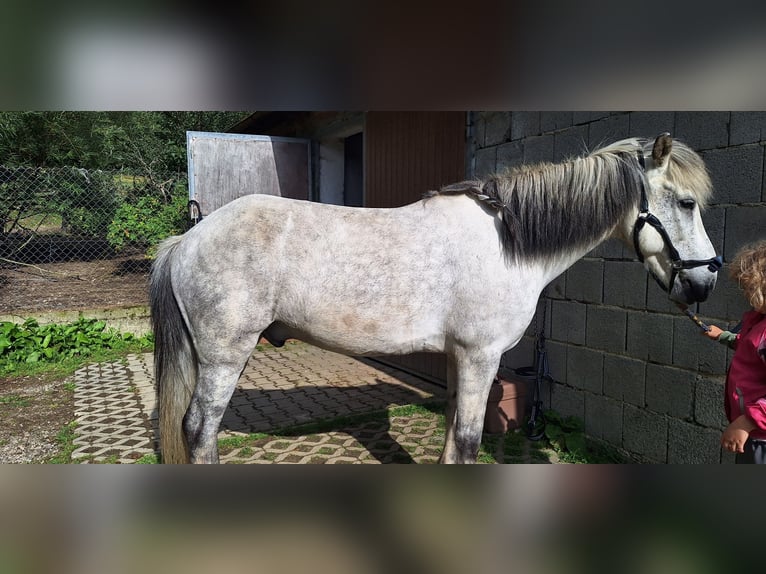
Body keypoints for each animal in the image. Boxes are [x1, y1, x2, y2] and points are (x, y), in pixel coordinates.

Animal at [150, 133, 722, 464]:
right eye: (686, 202)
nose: (704, 283)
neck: (508, 243)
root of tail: (187, 240)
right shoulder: (480, 356)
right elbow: (468, 441)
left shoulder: (457, 358)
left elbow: (452, 433)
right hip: (225, 357)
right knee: (199, 430)